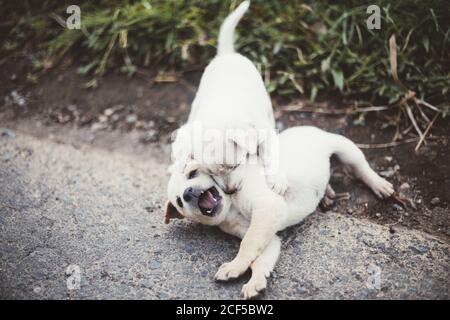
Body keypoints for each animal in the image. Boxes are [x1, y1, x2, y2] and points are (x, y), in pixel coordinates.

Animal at [165, 125, 394, 298]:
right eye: (179, 202)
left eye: (192, 173)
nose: (188, 193)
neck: (230, 206)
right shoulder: (268, 237)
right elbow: (258, 259)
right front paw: (255, 281)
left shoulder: (267, 209)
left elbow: (247, 245)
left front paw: (235, 267)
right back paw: (327, 194)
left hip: (345, 149)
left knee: (361, 168)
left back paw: (379, 184)